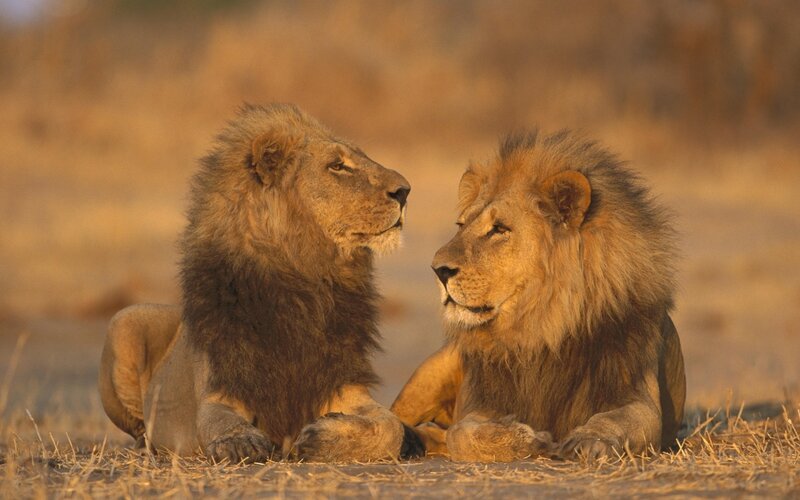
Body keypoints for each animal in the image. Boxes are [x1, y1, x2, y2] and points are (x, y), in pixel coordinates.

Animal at [98, 103, 418, 463]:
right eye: (337, 166)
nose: (405, 191)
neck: (306, 280)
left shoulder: (344, 386)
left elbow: (391, 426)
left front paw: (320, 437)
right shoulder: (220, 388)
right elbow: (218, 421)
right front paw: (241, 442)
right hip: (125, 318)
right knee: (138, 427)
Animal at [391, 130, 685, 462]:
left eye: (499, 229)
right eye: (461, 225)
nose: (438, 270)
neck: (540, 327)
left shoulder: (638, 398)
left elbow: (613, 422)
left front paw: (587, 440)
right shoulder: (480, 404)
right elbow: (462, 433)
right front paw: (531, 439)